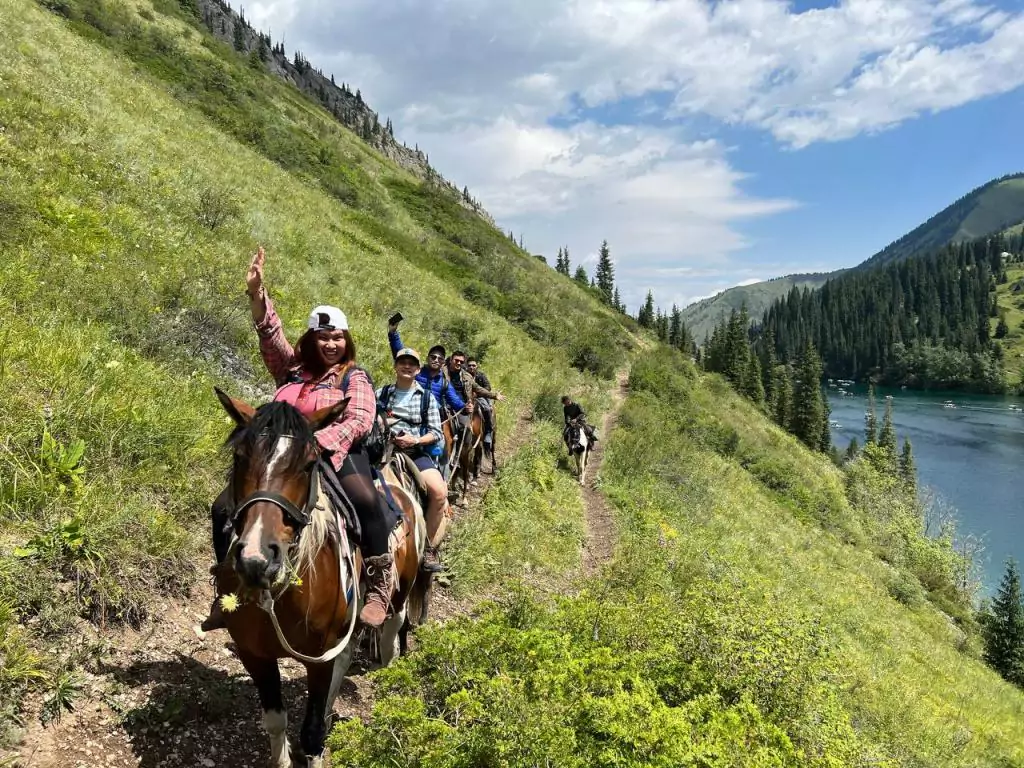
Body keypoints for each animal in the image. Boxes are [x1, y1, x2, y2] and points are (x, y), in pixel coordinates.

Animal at [212, 391, 428, 768]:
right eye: (240, 457)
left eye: (308, 464)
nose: (257, 558)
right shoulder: (254, 653)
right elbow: (275, 720)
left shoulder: (321, 657)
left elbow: (311, 731)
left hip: (400, 590)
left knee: (392, 629)